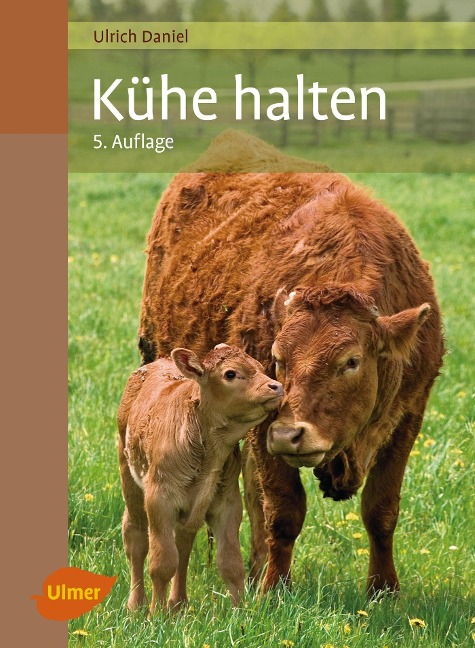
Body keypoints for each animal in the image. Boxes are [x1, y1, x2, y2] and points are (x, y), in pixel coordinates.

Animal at [117, 344, 283, 612]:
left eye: (259, 366)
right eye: (230, 374)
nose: (276, 386)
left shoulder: (227, 502)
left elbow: (231, 563)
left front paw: (240, 613)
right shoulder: (159, 500)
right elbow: (162, 563)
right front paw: (156, 614)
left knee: (183, 541)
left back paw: (178, 604)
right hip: (129, 479)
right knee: (136, 536)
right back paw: (137, 606)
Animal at [138, 171, 444, 596]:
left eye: (351, 361)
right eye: (279, 358)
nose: (289, 435)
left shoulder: (408, 418)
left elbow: (381, 510)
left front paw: (384, 590)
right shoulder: (264, 423)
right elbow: (283, 511)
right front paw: (274, 589)